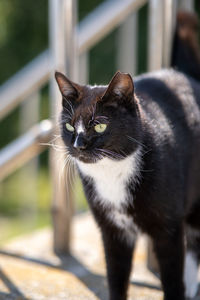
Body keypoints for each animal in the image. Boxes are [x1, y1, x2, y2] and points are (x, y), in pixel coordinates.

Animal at [55, 11, 200, 300]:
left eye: (99, 125)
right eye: (69, 126)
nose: (78, 145)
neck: (113, 174)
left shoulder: (168, 231)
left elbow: (171, 279)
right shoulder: (112, 231)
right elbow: (116, 277)